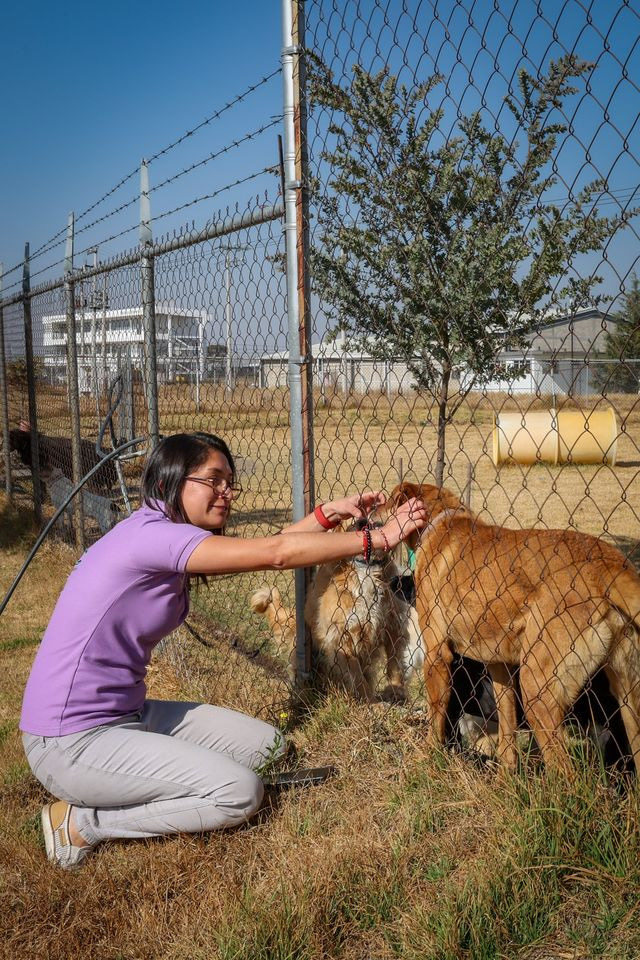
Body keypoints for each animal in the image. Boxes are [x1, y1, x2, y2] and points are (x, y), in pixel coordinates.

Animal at [252, 516, 422, 696]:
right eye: (350, 519)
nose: (363, 519)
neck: (365, 569)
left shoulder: (393, 625)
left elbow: (395, 664)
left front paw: (396, 690)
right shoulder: (340, 635)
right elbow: (356, 673)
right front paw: (365, 695)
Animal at [384, 480, 640, 772]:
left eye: (387, 501)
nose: (369, 514)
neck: (441, 523)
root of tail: (609, 563)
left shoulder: (438, 655)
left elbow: (437, 718)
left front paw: (427, 757)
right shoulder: (500, 667)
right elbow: (507, 732)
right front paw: (505, 776)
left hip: (537, 688)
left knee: (565, 771)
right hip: (627, 698)